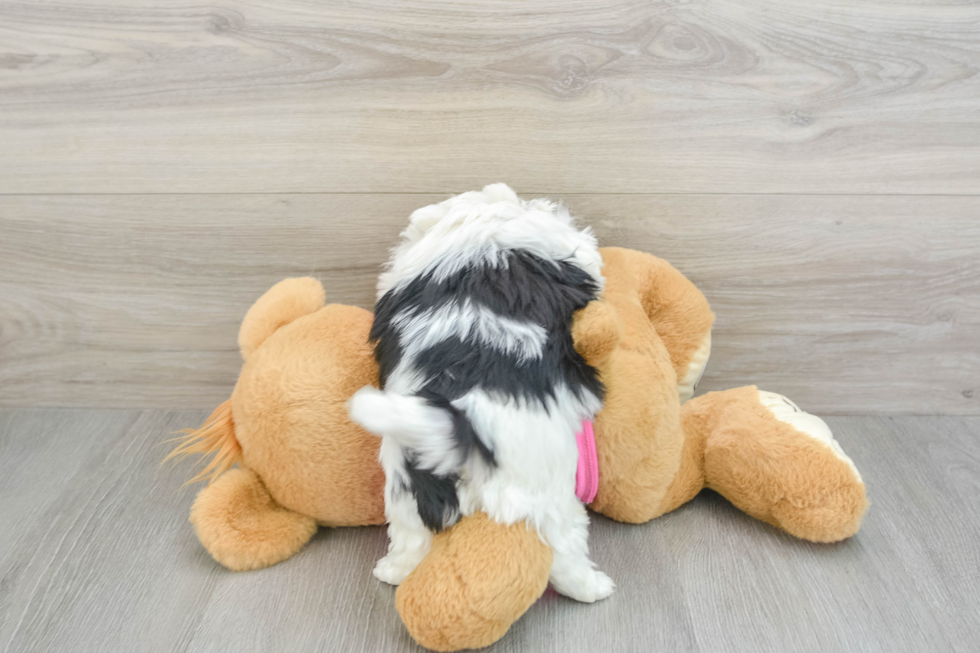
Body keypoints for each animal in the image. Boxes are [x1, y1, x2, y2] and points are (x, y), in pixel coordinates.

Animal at [350, 183, 612, 600]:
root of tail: (468, 427)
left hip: (408, 487)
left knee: (411, 539)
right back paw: (594, 588)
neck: (484, 234)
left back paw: (392, 572)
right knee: (565, 546)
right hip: (547, 491)